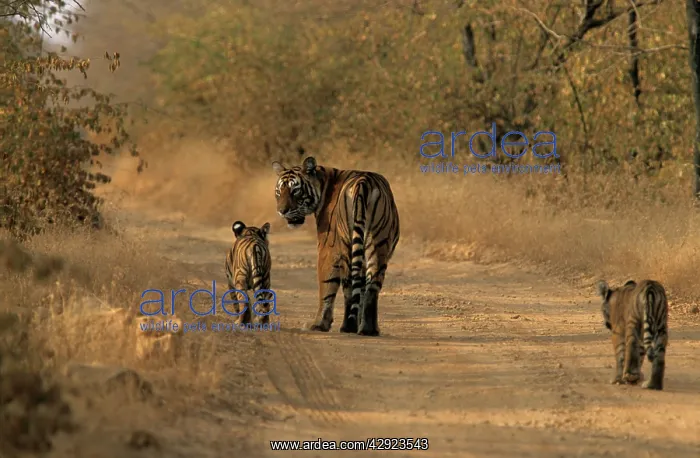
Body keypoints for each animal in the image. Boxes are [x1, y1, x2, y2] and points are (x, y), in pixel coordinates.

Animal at [272, 156, 400, 336]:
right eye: (279, 191)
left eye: (295, 191)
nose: (282, 211)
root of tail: (365, 182)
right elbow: (361, 291)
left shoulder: (328, 248)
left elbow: (326, 286)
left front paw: (319, 324)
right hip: (378, 244)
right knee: (372, 286)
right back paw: (369, 329)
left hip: (346, 244)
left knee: (349, 286)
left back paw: (348, 327)